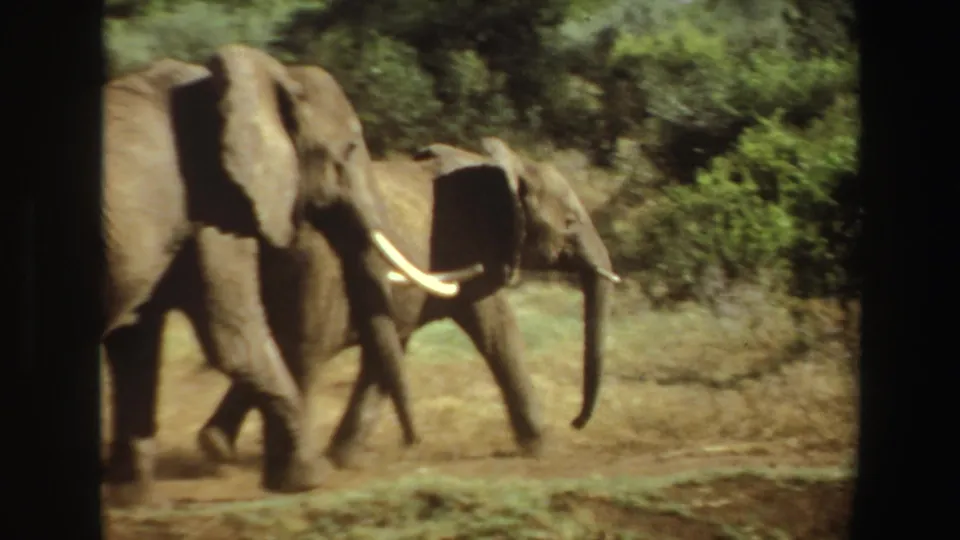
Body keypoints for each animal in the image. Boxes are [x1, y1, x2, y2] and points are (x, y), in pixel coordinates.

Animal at [101, 44, 474, 506]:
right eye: (349, 148)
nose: (414, 445)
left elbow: (136, 342)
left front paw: (134, 500)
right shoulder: (215, 203)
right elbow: (235, 339)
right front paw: (310, 479)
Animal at [193, 136, 621, 469]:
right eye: (570, 222)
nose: (576, 421)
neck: (508, 166)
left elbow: (393, 348)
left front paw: (346, 458)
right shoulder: (470, 247)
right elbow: (497, 331)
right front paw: (543, 449)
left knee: (271, 343)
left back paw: (216, 448)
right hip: (320, 265)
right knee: (308, 347)